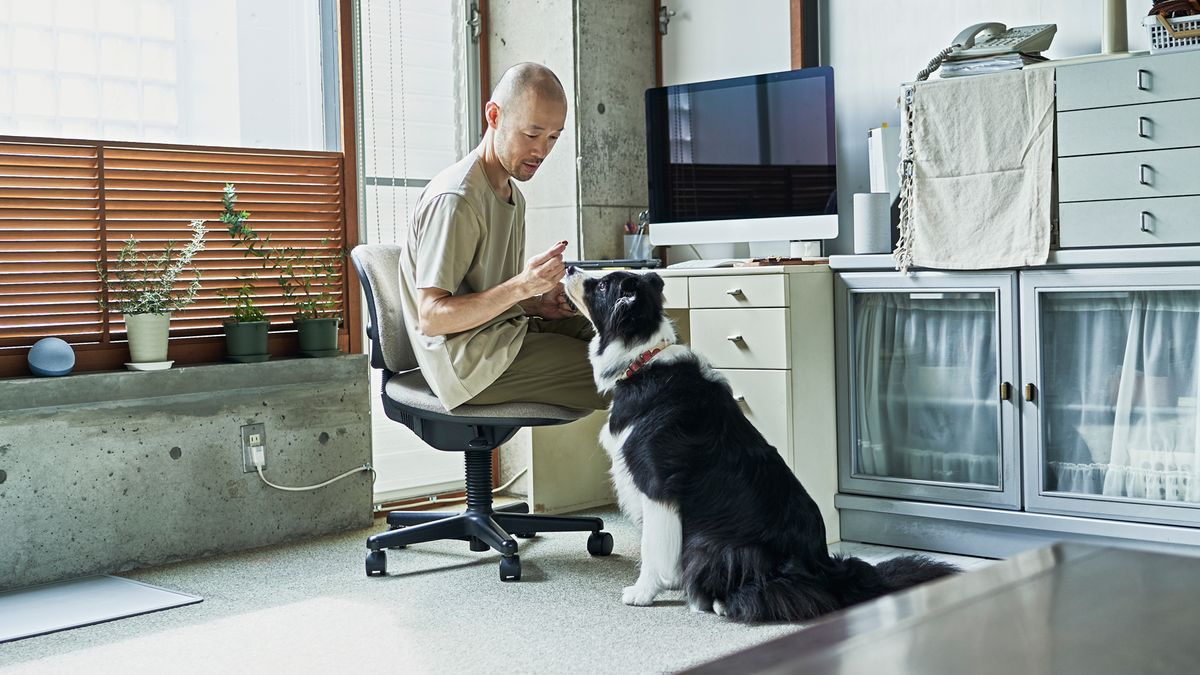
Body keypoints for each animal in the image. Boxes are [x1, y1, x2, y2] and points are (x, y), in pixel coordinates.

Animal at [561, 266, 955, 619]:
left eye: (603, 285)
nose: (569, 267)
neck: (643, 360)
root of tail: (826, 568)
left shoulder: (656, 484)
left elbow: (652, 545)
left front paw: (643, 593)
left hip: (714, 544)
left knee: (787, 595)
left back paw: (719, 602)